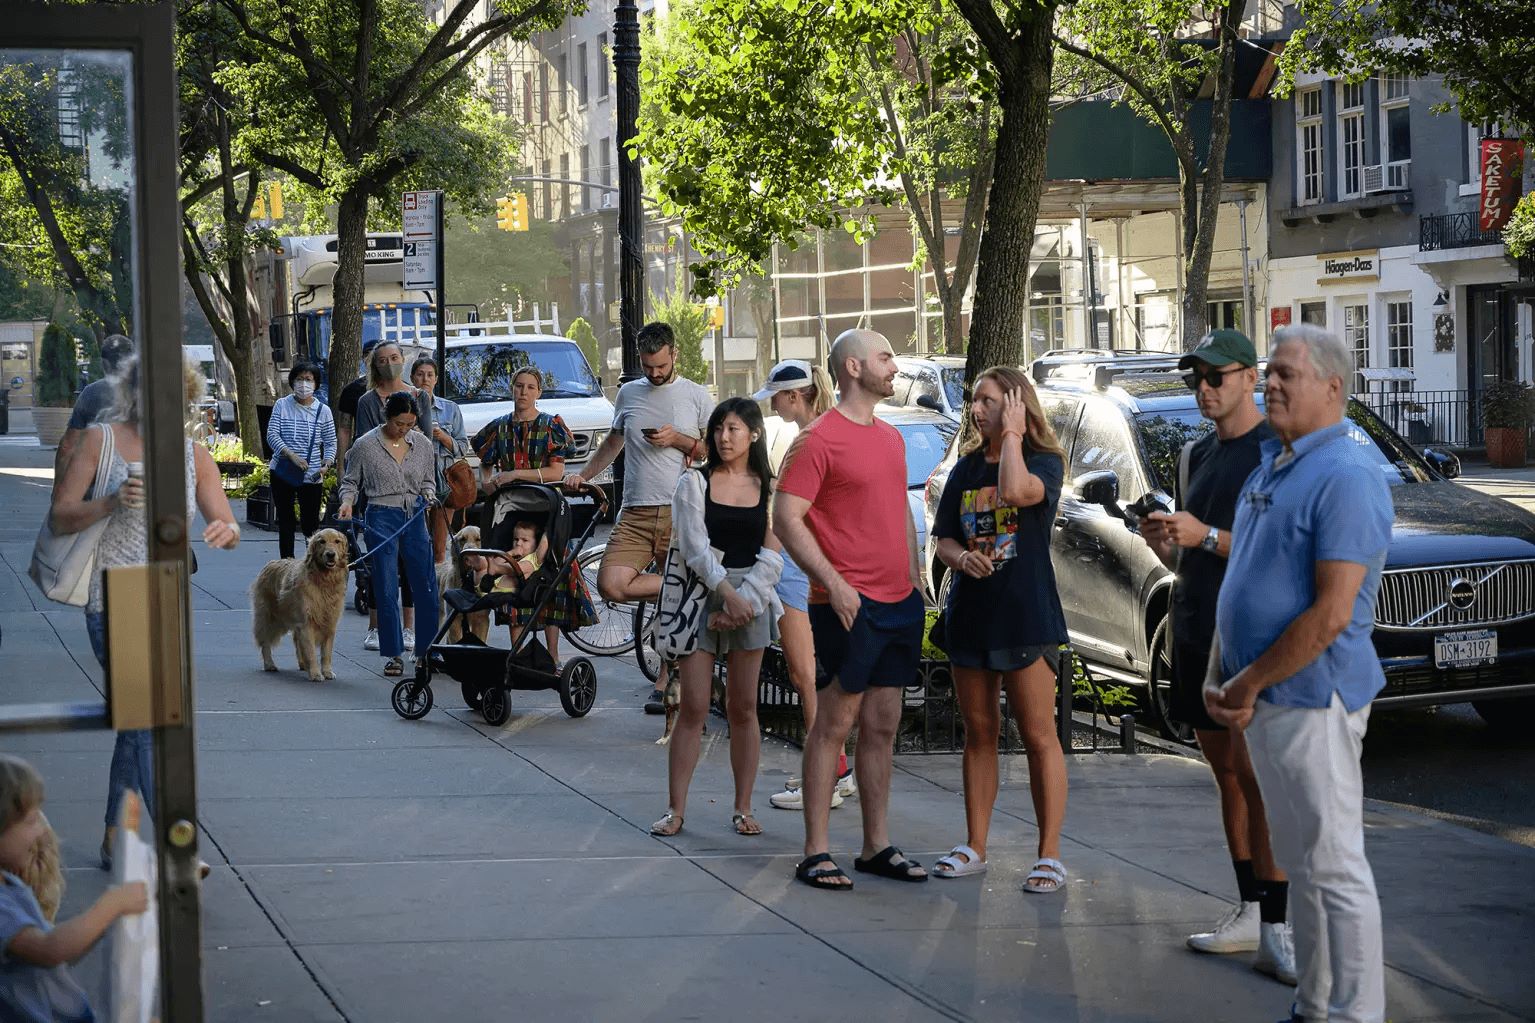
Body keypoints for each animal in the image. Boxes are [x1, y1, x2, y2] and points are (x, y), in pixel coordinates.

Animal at [251, 525, 348, 675]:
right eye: (322, 541)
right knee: (265, 641)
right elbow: (311, 651)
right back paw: (269, 664)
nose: (330, 554)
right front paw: (315, 673)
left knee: (296, 640)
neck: (323, 580)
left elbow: (326, 652)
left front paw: (326, 672)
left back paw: (303, 664)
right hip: (270, 617)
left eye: (337, 541)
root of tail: (270, 563)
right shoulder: (307, 622)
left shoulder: (330, 622)